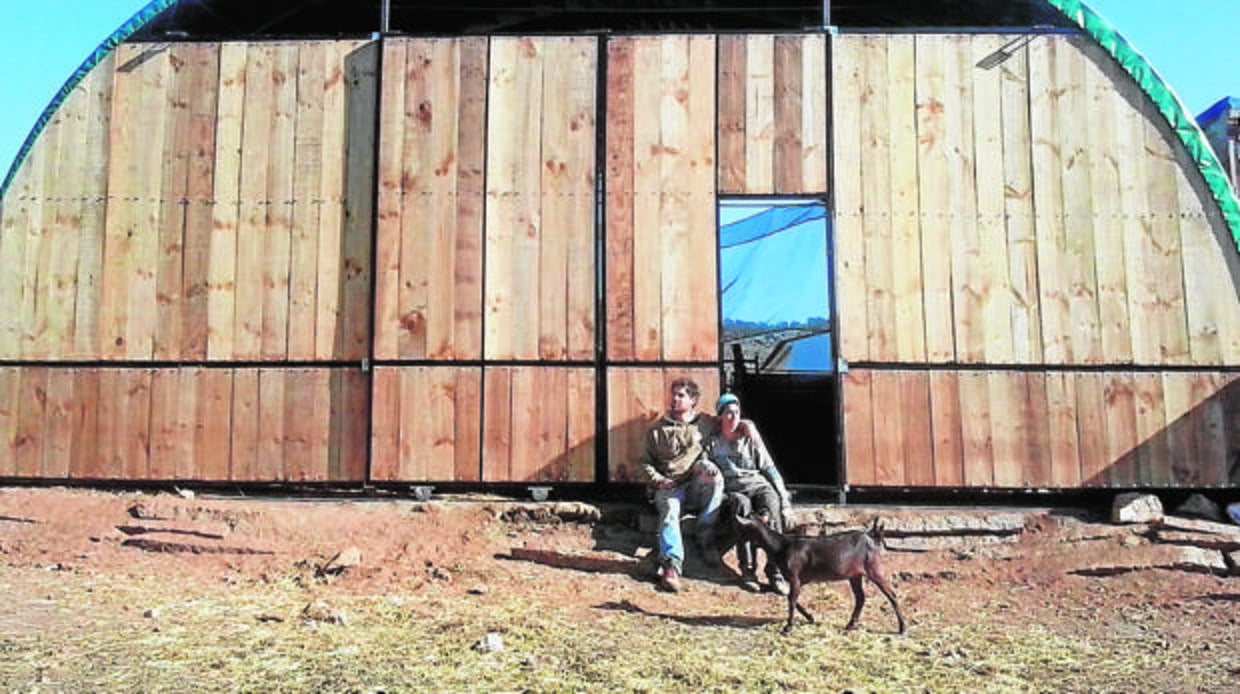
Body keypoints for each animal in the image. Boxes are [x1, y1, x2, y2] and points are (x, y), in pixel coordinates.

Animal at [729, 515, 907, 634]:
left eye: (742, 529)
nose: (735, 540)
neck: (781, 546)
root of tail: (872, 536)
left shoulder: (794, 576)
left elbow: (791, 600)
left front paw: (788, 627)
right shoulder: (799, 580)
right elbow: (794, 599)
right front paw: (810, 617)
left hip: (873, 569)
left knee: (891, 594)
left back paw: (902, 628)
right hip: (855, 575)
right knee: (860, 598)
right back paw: (850, 625)